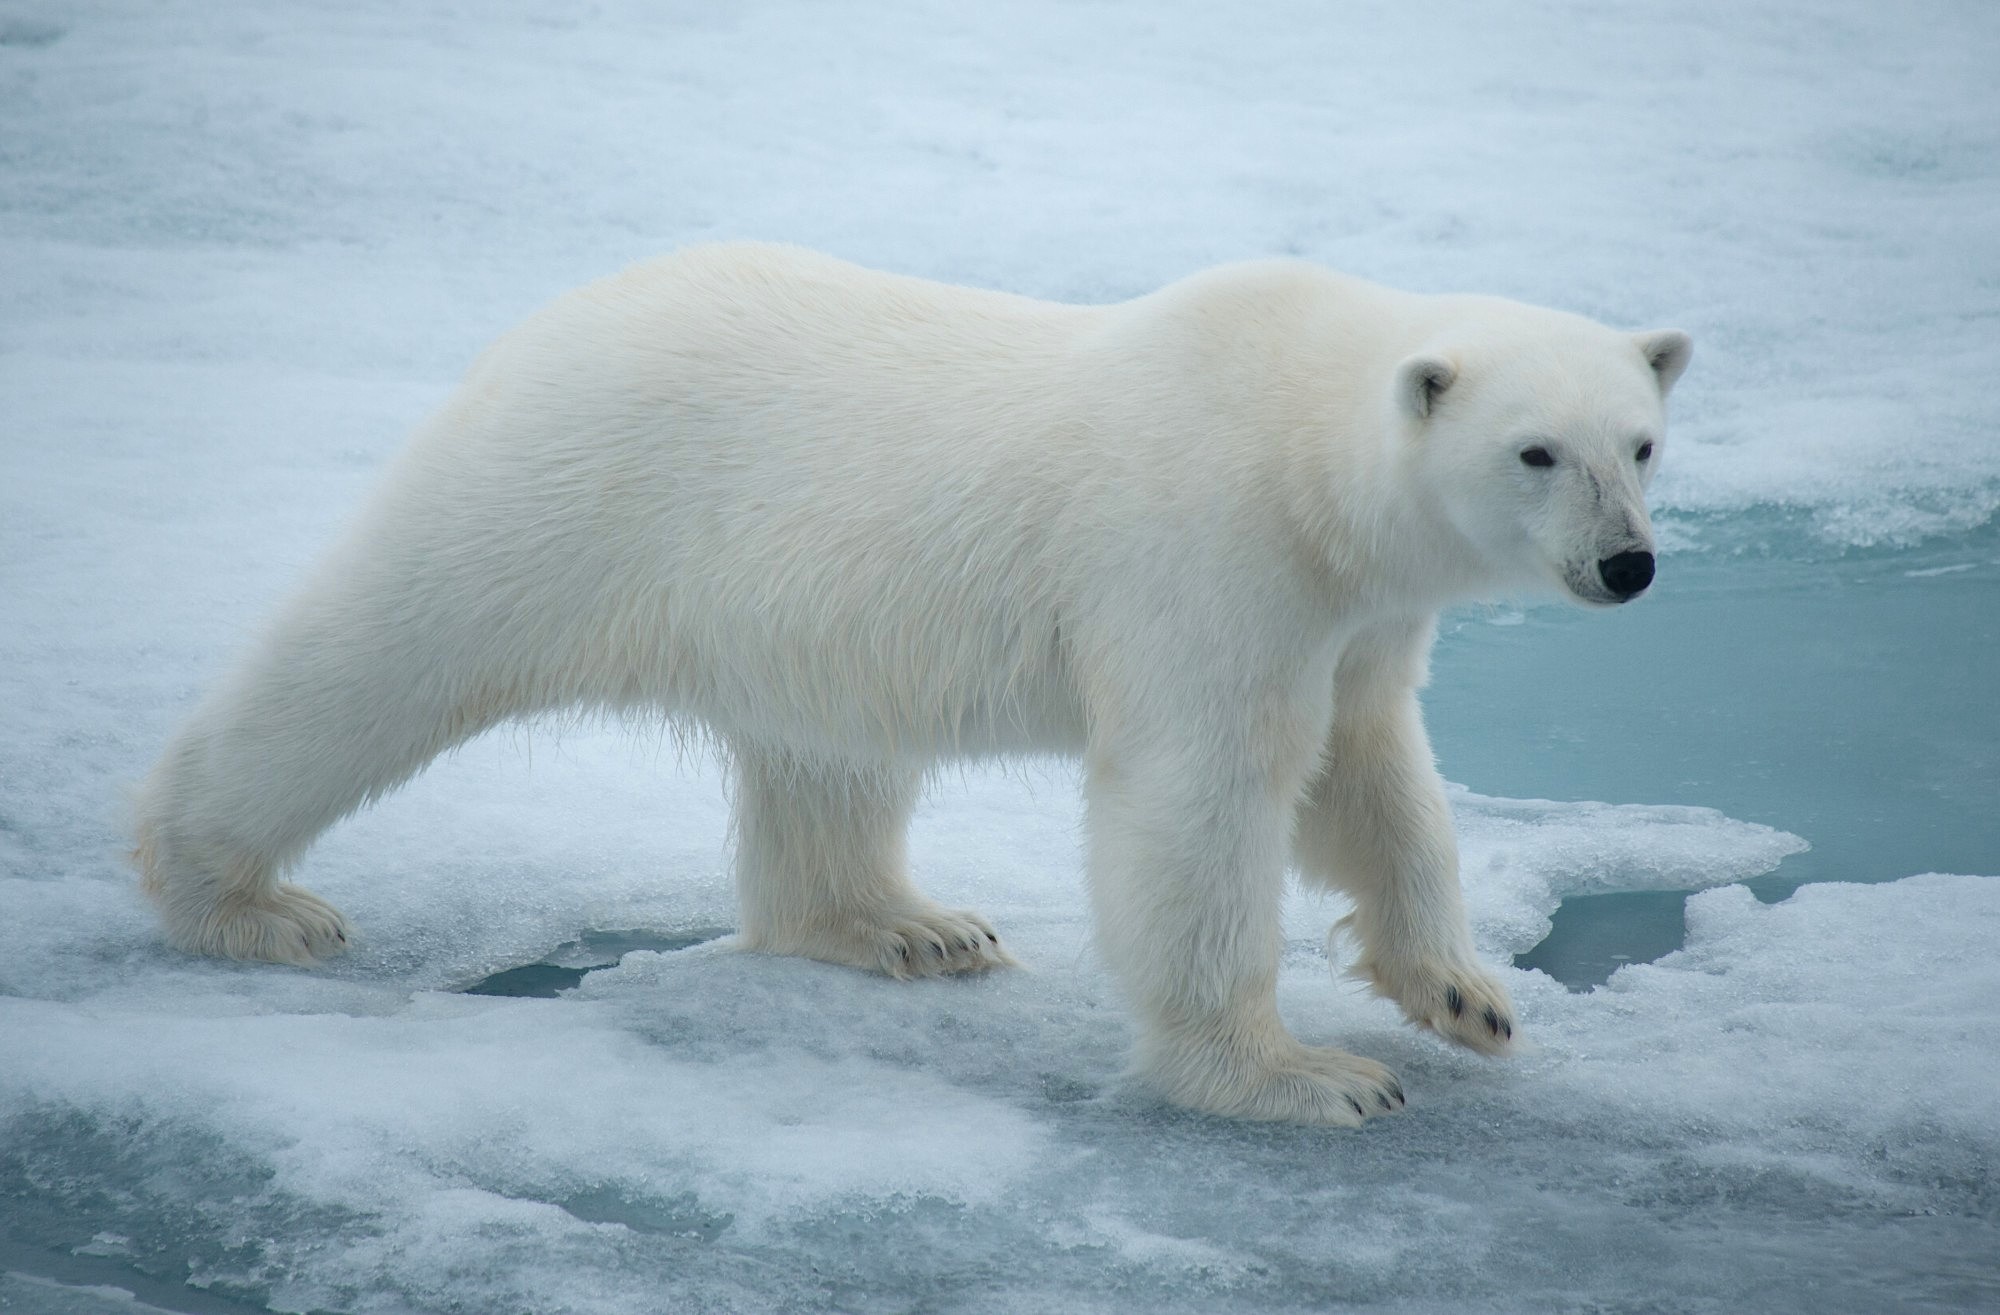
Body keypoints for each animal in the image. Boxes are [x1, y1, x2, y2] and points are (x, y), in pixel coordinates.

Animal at [134, 243, 1690, 1125]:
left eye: (1641, 440)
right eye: (1535, 450)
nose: (1629, 565)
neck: (1296, 449)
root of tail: (557, 316)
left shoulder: (1349, 611)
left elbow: (1369, 775)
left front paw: (1464, 995)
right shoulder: (1205, 555)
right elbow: (1203, 798)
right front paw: (1301, 1077)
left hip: (794, 604)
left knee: (825, 760)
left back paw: (909, 926)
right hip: (565, 495)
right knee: (372, 661)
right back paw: (235, 895)